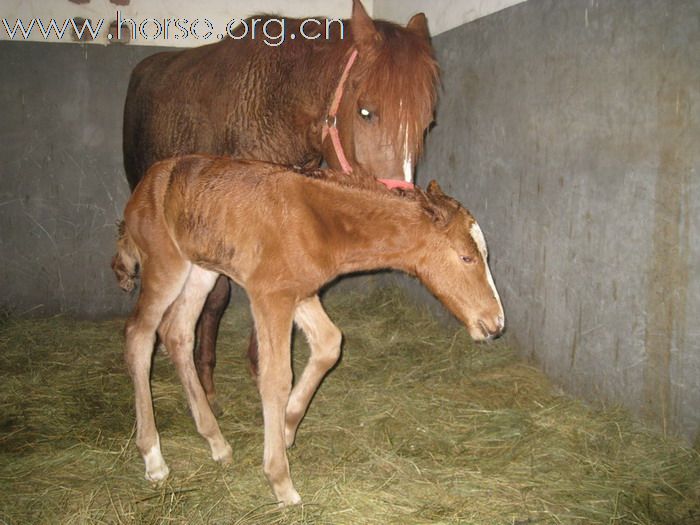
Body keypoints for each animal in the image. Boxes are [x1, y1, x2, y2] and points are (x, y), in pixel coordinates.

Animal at [109, 155, 504, 504]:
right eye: (466, 257)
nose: (496, 323)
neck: (320, 223)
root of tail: (143, 187)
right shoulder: (270, 297)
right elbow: (275, 378)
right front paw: (280, 481)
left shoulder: (300, 292)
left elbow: (330, 344)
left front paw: (286, 428)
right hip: (165, 266)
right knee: (140, 336)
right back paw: (154, 458)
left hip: (201, 270)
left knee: (177, 333)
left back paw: (217, 443)